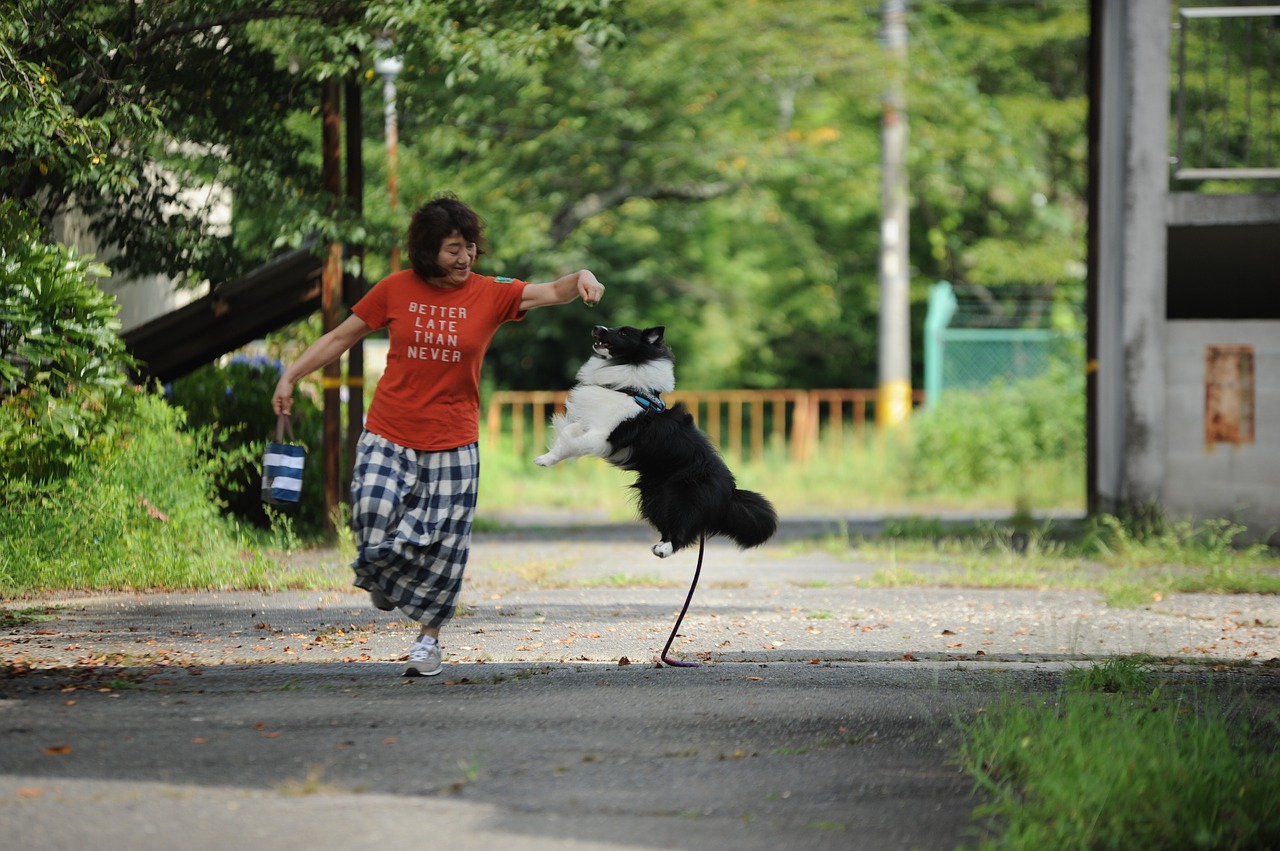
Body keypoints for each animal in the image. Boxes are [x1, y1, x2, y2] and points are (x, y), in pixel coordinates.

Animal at [532, 325, 773, 557]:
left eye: (623, 332)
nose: (596, 327)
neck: (627, 389)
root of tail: (731, 491)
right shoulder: (589, 425)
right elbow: (567, 432)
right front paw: (547, 458)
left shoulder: (601, 436)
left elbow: (568, 440)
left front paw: (545, 461)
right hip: (655, 496)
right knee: (670, 526)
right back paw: (660, 545)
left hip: (682, 498)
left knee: (683, 531)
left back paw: (664, 550)